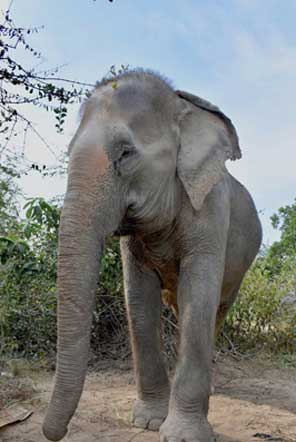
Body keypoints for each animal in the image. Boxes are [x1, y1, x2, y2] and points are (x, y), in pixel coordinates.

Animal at [42, 70, 262, 442]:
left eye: (125, 153)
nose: (54, 433)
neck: (182, 107)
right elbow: (139, 302)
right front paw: (147, 422)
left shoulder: (211, 210)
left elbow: (199, 295)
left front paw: (183, 435)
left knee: (216, 310)